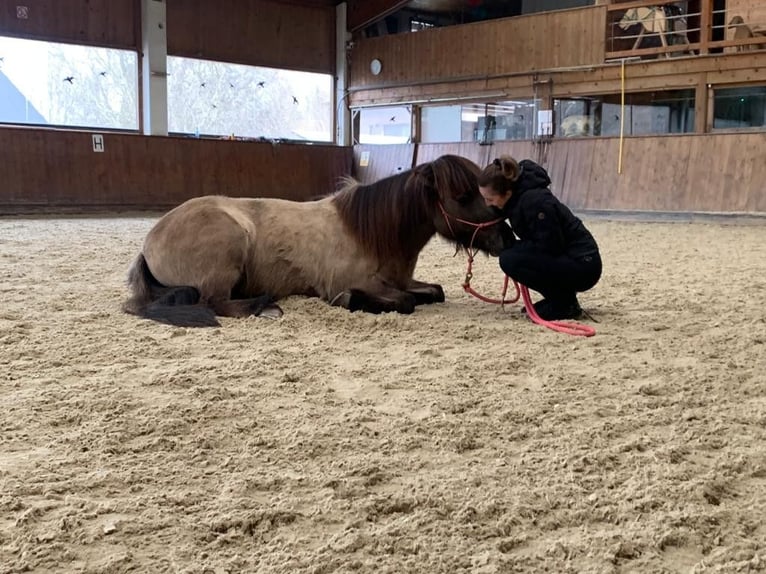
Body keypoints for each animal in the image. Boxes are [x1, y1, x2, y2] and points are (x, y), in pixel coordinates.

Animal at [122, 154, 514, 327]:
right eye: (462, 196)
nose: (505, 237)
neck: (372, 235)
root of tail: (150, 240)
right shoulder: (356, 283)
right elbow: (403, 302)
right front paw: (352, 301)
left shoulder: (403, 280)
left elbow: (434, 292)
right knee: (214, 302)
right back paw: (264, 307)